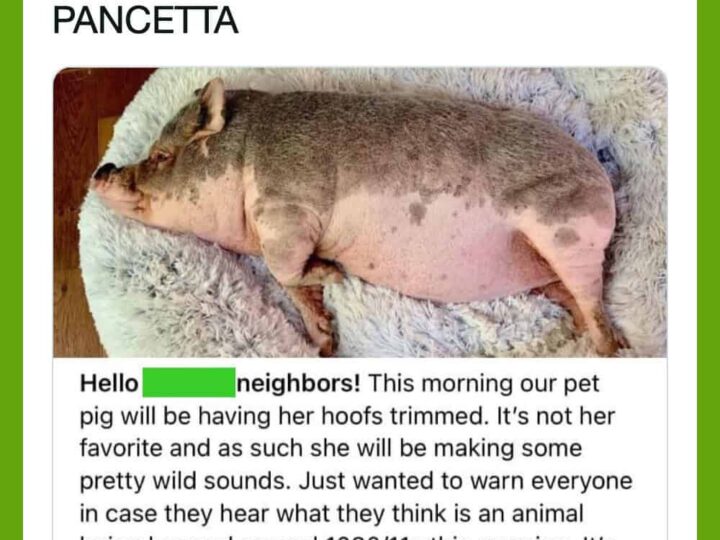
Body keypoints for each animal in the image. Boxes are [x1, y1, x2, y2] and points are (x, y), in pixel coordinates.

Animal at [91, 78, 623, 356]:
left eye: (162, 156)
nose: (103, 169)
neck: (244, 163)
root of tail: (604, 184)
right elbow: (289, 285)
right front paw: (324, 342)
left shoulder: (289, 207)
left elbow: (285, 268)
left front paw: (334, 274)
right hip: (547, 271)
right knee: (572, 297)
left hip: (563, 228)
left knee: (594, 300)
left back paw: (607, 346)